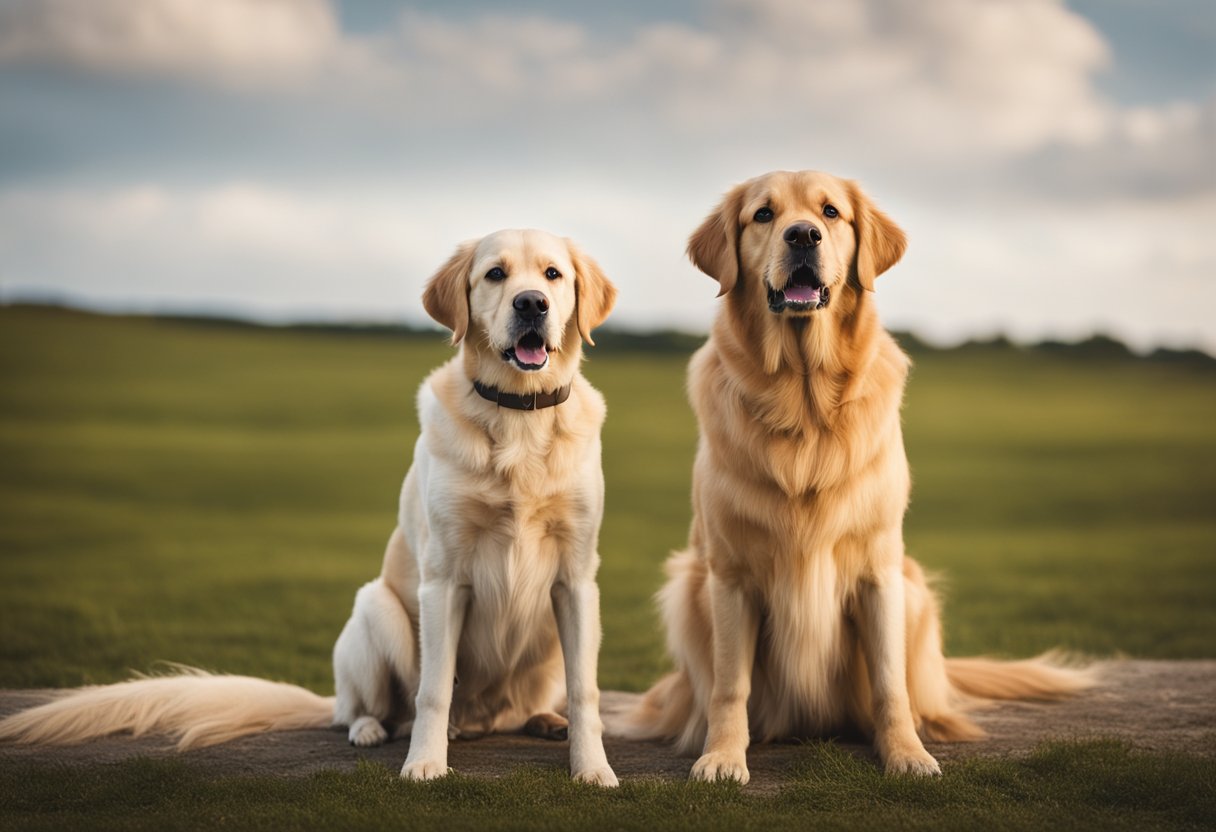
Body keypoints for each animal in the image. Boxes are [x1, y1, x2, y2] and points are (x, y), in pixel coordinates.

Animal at [0, 228, 622, 788]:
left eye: (552, 275)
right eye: (496, 274)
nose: (531, 304)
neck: (517, 415)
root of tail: (481, 722)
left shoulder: (576, 581)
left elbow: (586, 689)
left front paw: (592, 768)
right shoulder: (444, 580)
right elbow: (432, 691)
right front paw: (424, 764)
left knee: (523, 704)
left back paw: (541, 719)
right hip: (376, 608)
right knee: (365, 710)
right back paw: (376, 729)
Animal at [627, 172, 1094, 783]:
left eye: (831, 213)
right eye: (763, 214)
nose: (803, 235)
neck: (803, 404)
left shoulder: (878, 573)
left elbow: (890, 686)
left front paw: (906, 753)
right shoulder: (729, 576)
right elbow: (730, 686)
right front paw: (723, 756)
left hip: (914, 591)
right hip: (686, 587)